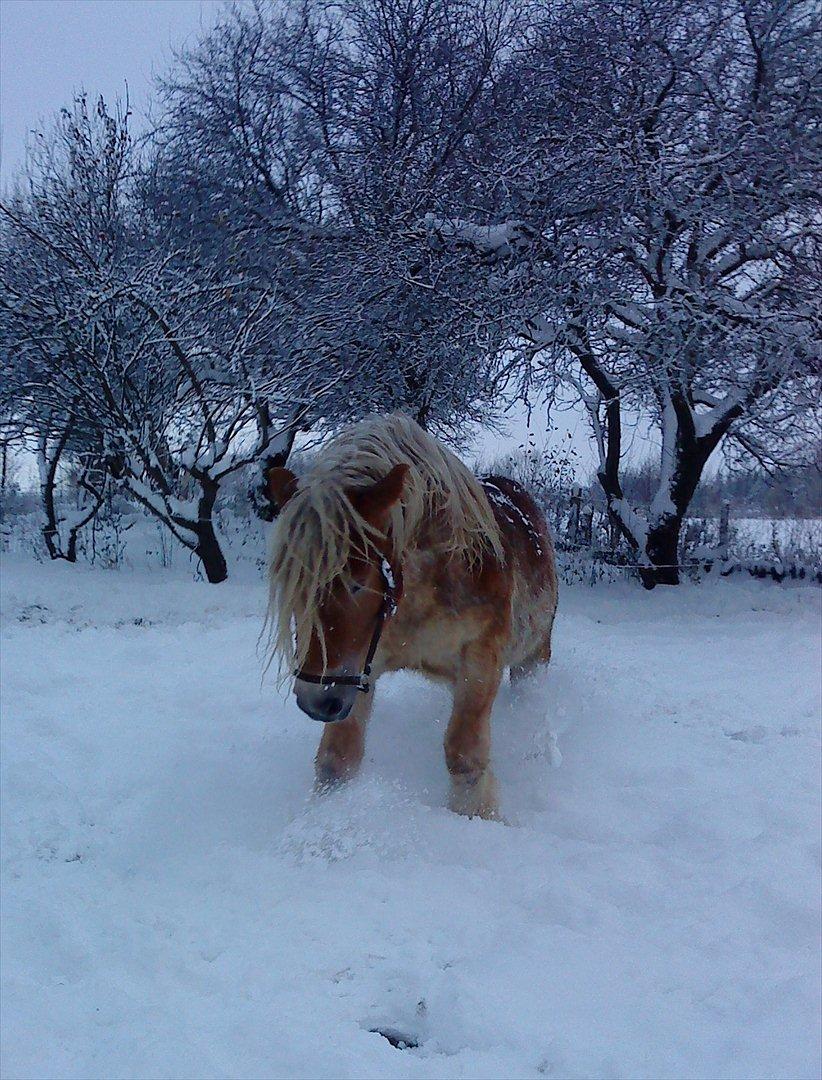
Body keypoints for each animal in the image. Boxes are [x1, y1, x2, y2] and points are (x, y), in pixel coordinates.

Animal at [265, 412, 553, 816]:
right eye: (295, 587)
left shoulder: (481, 662)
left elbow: (465, 757)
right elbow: (337, 758)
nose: (317, 701)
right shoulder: (360, 668)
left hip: (534, 655)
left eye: (357, 583)